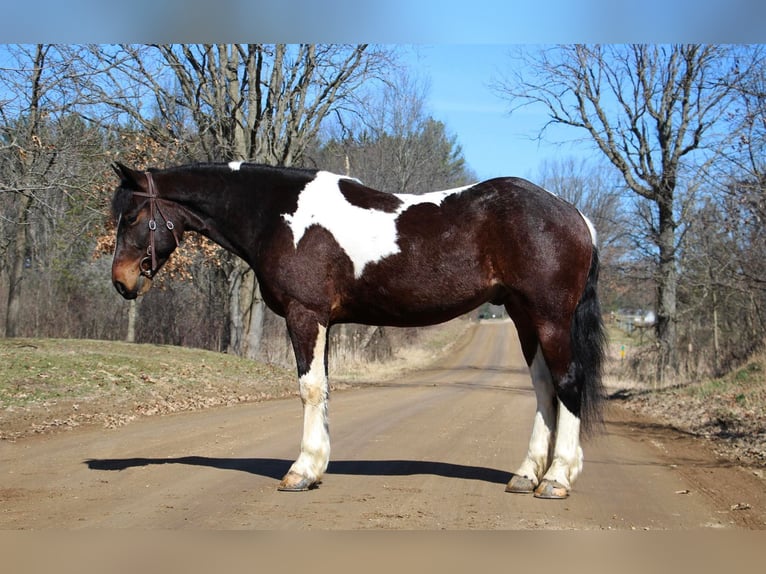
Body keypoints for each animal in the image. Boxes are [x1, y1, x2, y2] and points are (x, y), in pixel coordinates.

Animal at [111, 161, 608, 500]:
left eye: (132, 217)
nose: (121, 281)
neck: (279, 213)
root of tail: (575, 215)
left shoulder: (305, 314)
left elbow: (310, 389)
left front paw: (300, 472)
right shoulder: (323, 322)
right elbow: (325, 388)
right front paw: (316, 467)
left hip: (549, 318)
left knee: (567, 383)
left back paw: (557, 478)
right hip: (524, 317)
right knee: (544, 388)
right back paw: (526, 475)